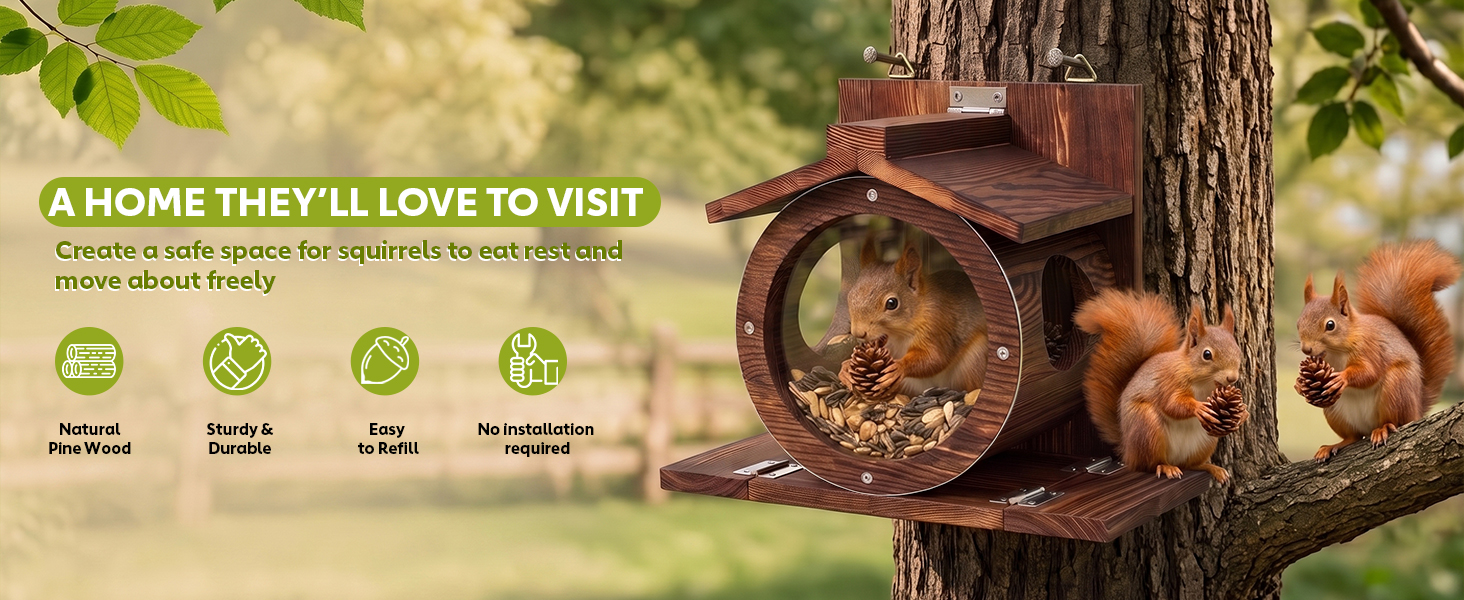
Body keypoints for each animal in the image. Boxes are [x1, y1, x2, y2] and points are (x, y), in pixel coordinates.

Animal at [846, 238, 987, 395]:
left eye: (892, 303)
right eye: (849, 295)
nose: (858, 333)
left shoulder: (937, 323)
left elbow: (935, 357)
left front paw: (899, 367)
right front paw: (846, 368)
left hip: (975, 359)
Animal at [1075, 290, 1242, 482]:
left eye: (1239, 351)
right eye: (1206, 354)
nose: (1232, 378)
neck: (1204, 383)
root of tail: (1128, 451)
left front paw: (1242, 414)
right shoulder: (1169, 381)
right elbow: (1172, 404)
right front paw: (1199, 407)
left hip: (1206, 441)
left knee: (1191, 465)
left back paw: (1211, 467)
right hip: (1146, 427)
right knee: (1149, 464)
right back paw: (1165, 467)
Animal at [1296, 240, 1460, 461]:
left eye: (1330, 325)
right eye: (1298, 323)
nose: (1306, 349)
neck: (1335, 351)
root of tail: (1416, 409)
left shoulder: (1370, 348)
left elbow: (1370, 372)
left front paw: (1342, 378)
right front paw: (1299, 385)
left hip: (1397, 388)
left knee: (1394, 421)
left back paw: (1383, 428)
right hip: (1335, 411)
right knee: (1353, 436)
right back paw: (1334, 445)